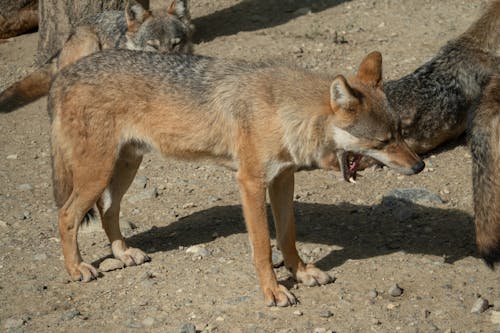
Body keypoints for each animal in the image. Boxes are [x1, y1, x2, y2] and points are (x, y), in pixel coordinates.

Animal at [48, 48, 424, 304]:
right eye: (383, 141)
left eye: (400, 132)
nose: (419, 166)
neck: (283, 111)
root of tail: (64, 74)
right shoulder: (251, 184)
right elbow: (262, 247)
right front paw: (273, 291)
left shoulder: (283, 180)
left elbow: (287, 236)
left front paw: (301, 273)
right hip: (97, 174)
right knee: (66, 216)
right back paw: (77, 268)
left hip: (123, 170)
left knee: (107, 211)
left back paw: (124, 253)